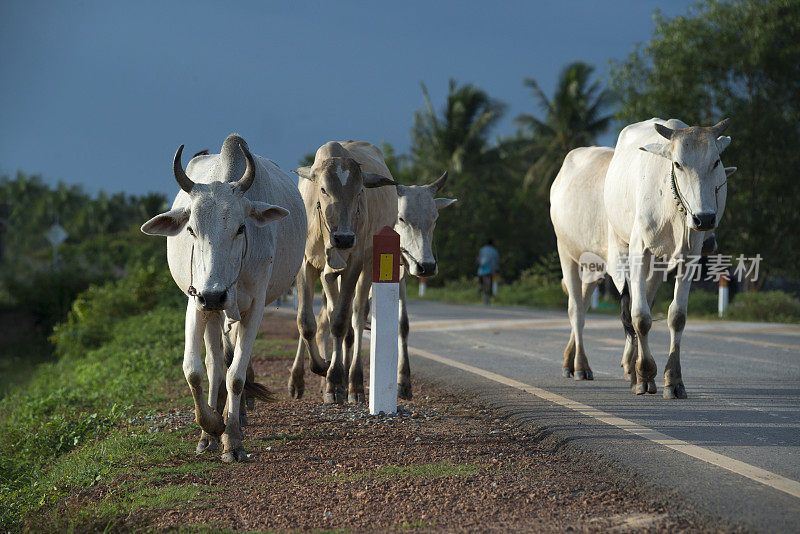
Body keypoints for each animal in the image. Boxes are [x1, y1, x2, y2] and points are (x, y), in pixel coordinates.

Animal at [141, 135, 306, 464]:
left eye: (241, 228)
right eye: (191, 229)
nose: (214, 294)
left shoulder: (254, 307)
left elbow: (237, 376)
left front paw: (232, 439)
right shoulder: (196, 302)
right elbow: (195, 369)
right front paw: (211, 427)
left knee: (230, 366)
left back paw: (235, 416)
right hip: (212, 312)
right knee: (215, 363)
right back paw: (213, 426)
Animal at [604, 119, 736, 400]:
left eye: (716, 162)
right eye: (677, 164)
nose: (704, 219)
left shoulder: (690, 257)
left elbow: (677, 316)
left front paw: (672, 380)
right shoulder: (639, 250)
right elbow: (640, 317)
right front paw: (644, 375)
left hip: (658, 263)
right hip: (623, 247)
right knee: (631, 308)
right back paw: (634, 372)